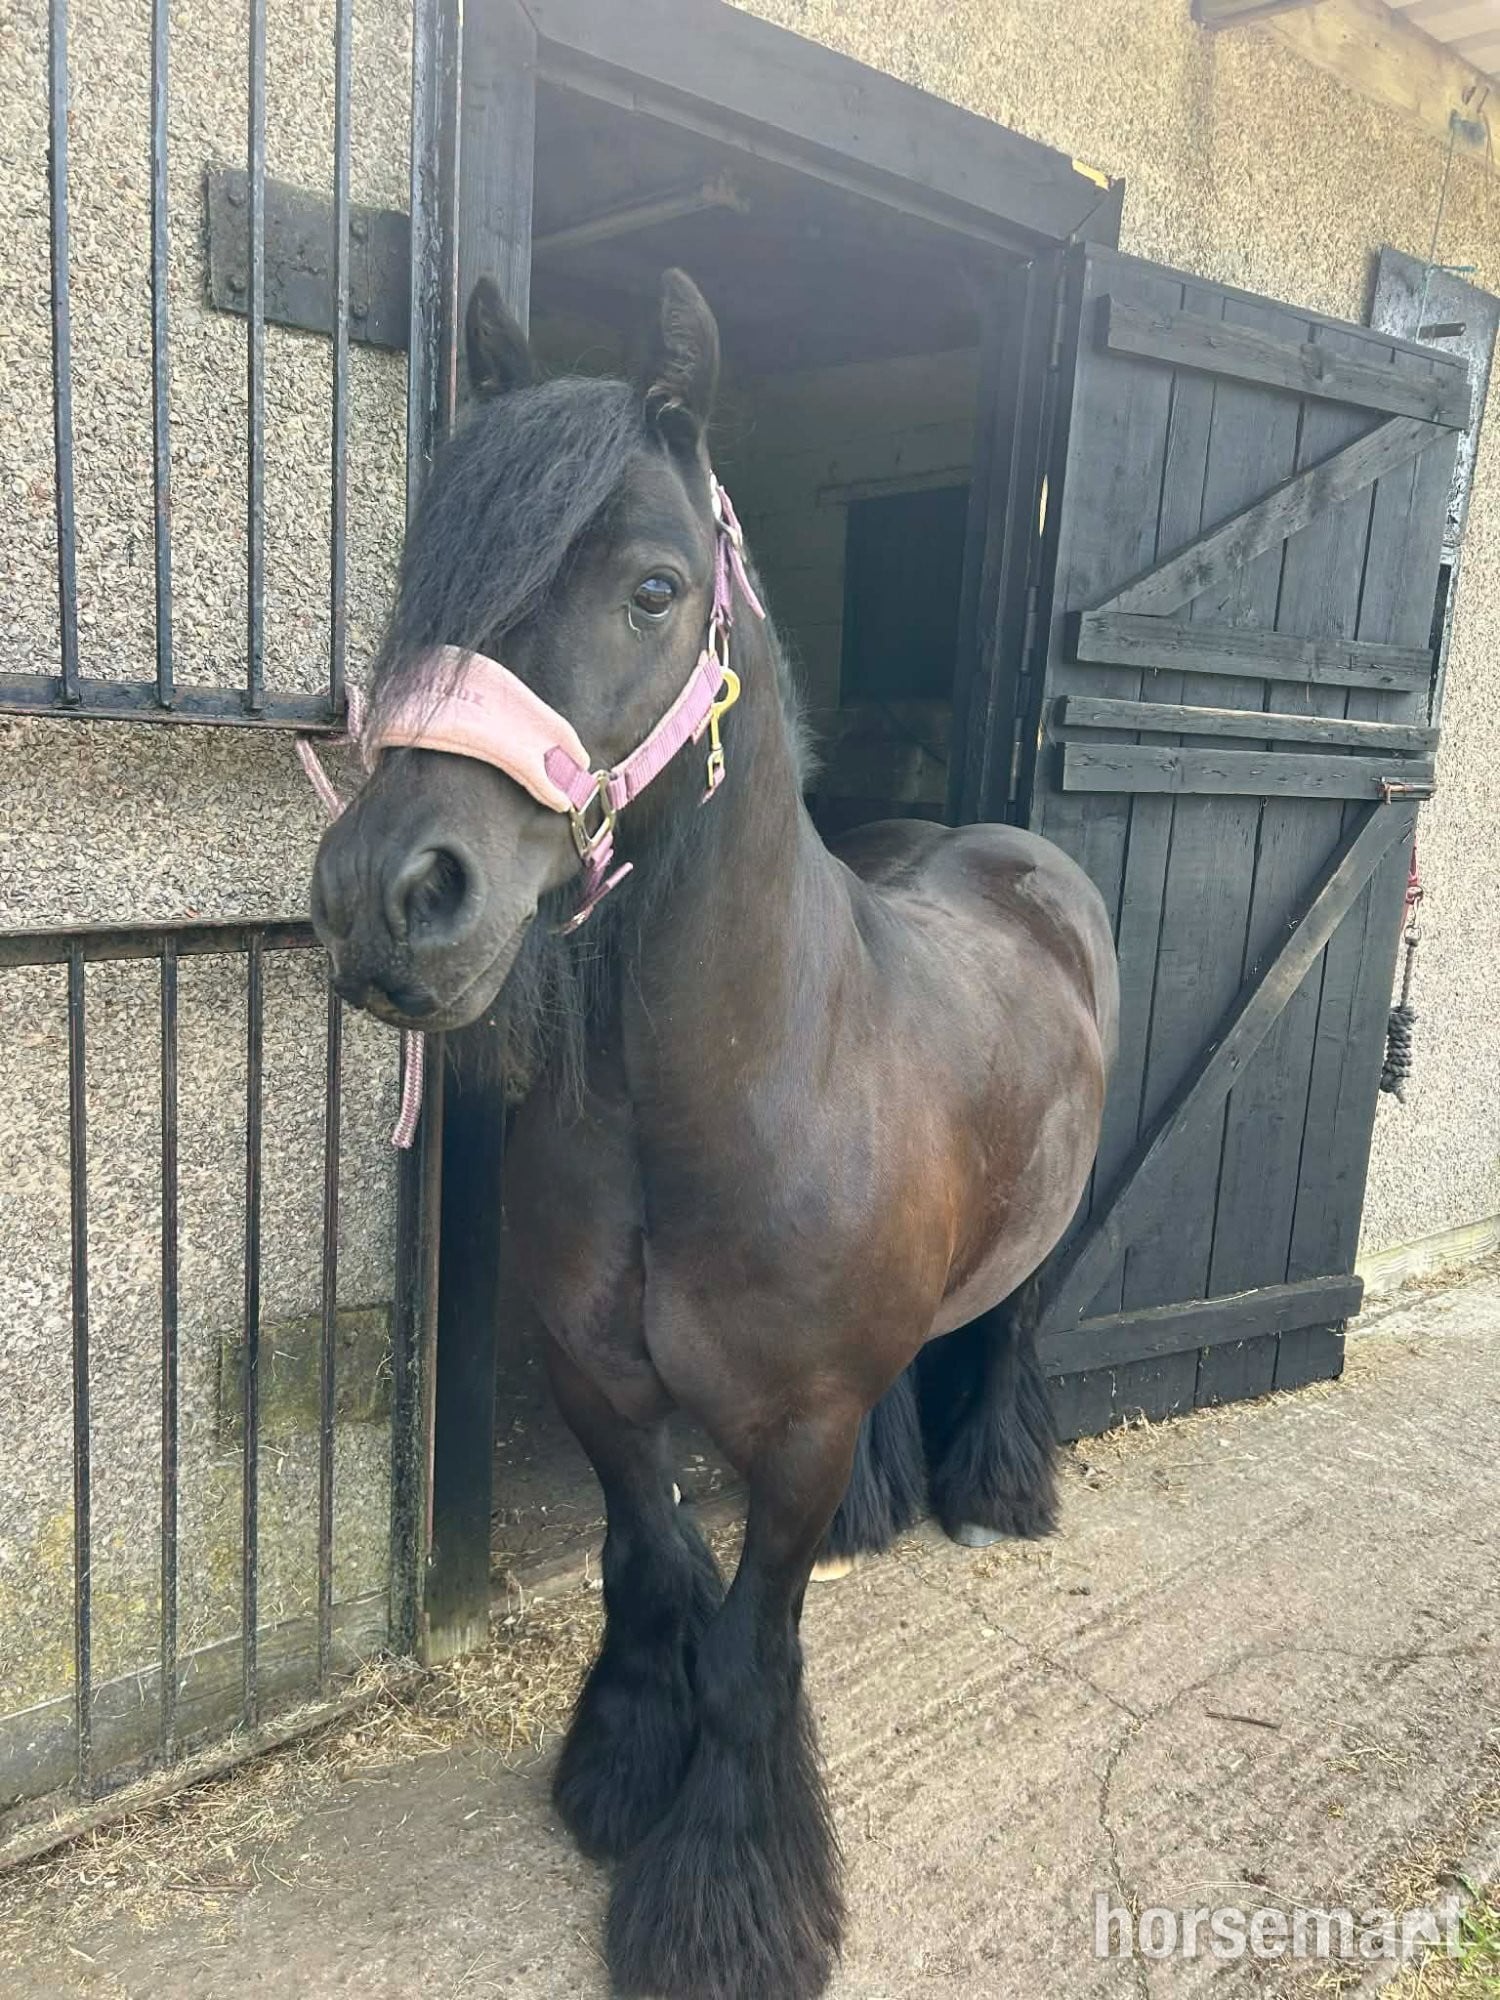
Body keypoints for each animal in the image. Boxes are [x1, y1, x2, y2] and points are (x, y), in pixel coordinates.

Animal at [310, 268, 1118, 2000]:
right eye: (430, 578)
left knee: (1012, 1329)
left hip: (1049, 1233)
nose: (386, 895)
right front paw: (618, 1769)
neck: (728, 1102)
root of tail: (1012, 856)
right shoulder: (601, 1385)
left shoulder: (793, 1436)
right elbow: (652, 1574)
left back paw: (994, 1489)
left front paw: (725, 1908)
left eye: (655, 589)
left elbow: (754, 1654)